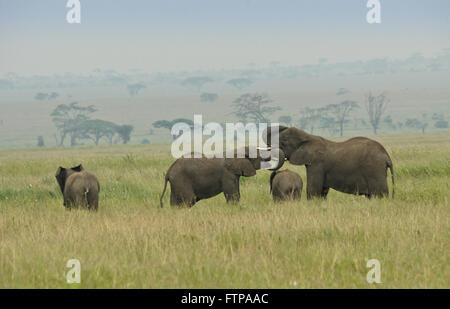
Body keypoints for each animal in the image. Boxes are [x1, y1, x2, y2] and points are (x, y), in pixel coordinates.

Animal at [264, 126, 394, 199]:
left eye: (283, 143)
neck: (308, 137)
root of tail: (386, 156)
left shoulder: (316, 164)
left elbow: (313, 190)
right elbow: (322, 190)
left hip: (375, 169)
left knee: (379, 194)